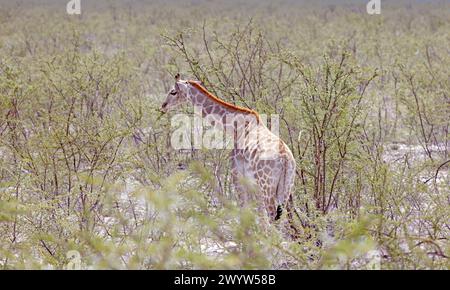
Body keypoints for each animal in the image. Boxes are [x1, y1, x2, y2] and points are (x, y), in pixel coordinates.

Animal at [160, 74, 300, 238]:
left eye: (173, 92)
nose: (163, 106)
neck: (235, 128)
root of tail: (285, 159)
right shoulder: (253, 184)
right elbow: (259, 218)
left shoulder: (237, 176)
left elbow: (245, 212)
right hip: (286, 188)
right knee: (280, 222)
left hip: (268, 187)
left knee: (273, 220)